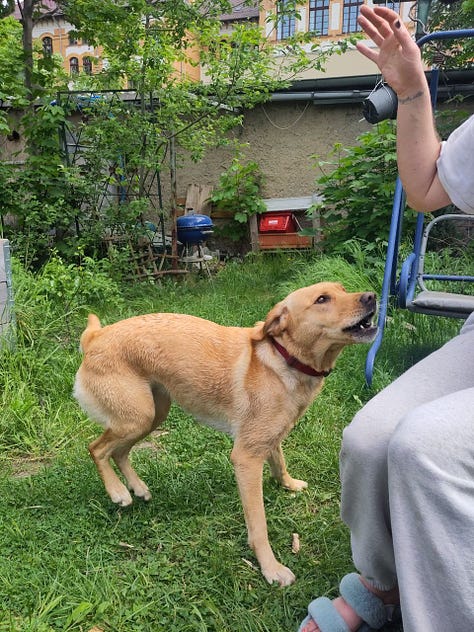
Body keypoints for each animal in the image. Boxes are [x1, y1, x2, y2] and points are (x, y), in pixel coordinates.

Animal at [74, 282, 376, 588]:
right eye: (322, 299)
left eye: (343, 289)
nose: (372, 296)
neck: (282, 358)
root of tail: (95, 337)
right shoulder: (246, 458)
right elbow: (258, 526)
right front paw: (270, 568)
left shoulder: (268, 438)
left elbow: (279, 463)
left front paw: (289, 484)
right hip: (137, 418)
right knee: (97, 448)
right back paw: (118, 491)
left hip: (151, 416)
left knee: (120, 452)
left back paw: (136, 487)